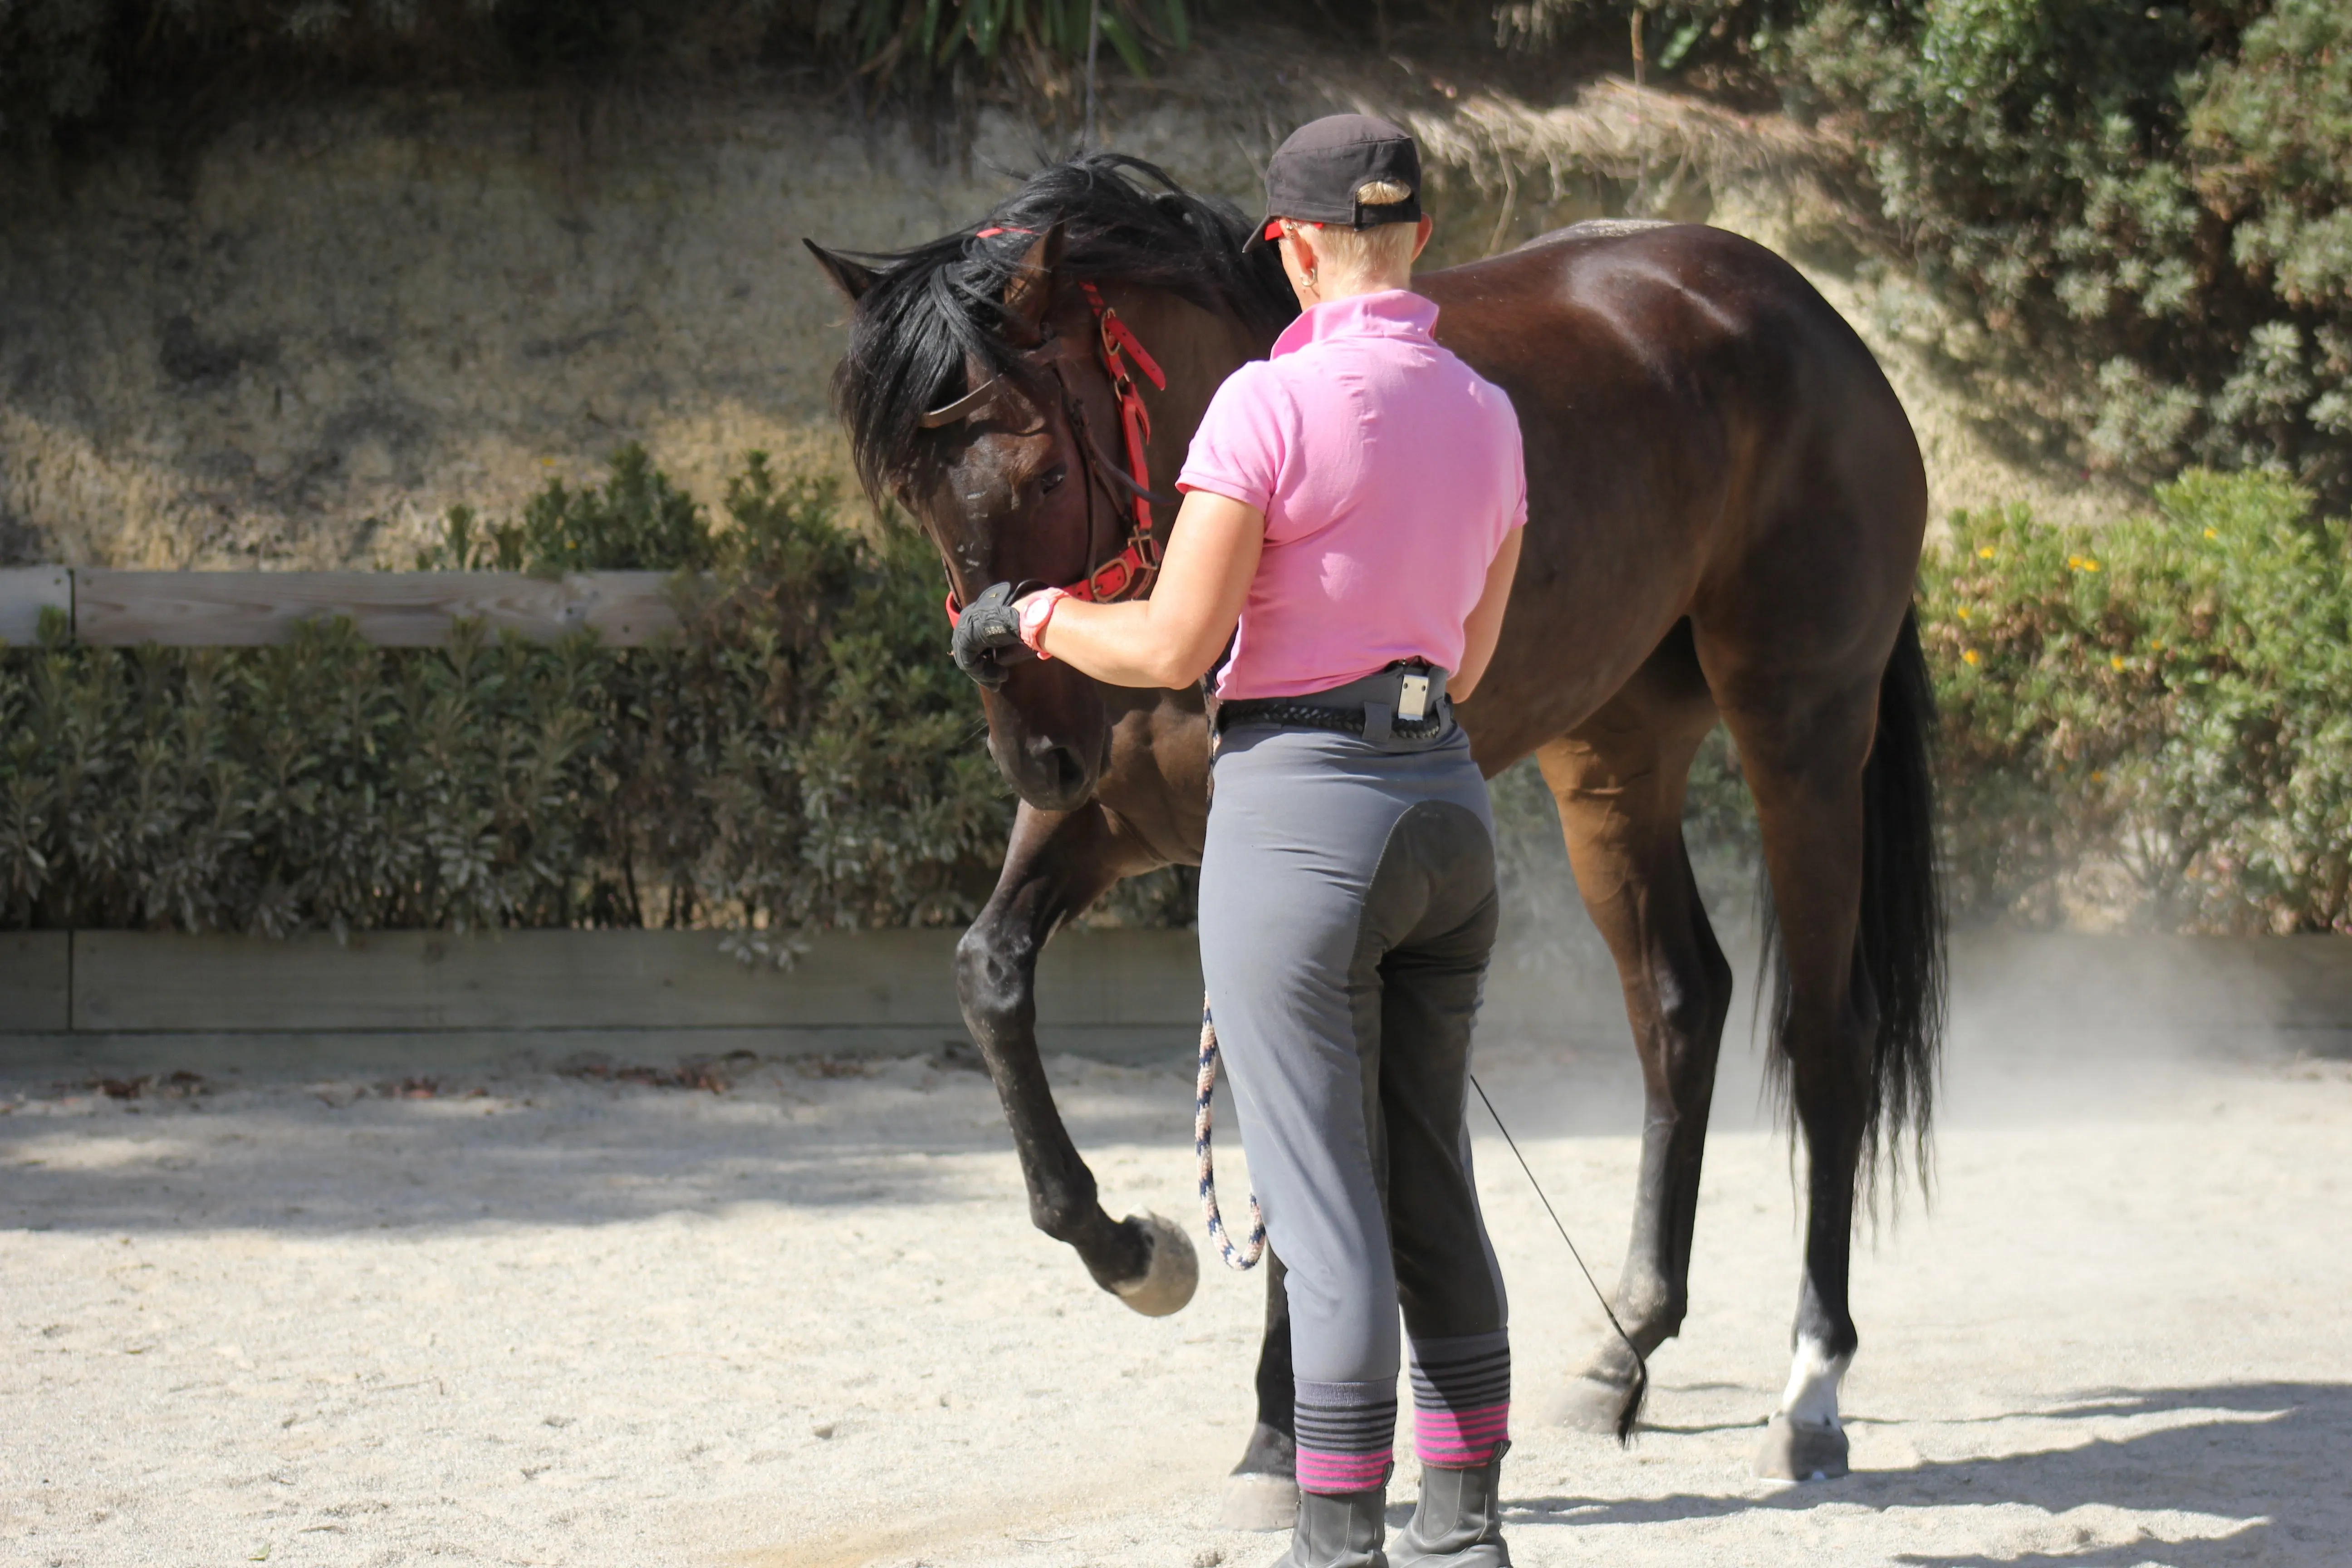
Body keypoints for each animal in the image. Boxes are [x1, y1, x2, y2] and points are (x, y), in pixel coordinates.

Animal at [799, 156, 1938, 1523]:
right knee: (1678, 1002)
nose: (1033, 752)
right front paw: (1137, 1253)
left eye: (1044, 478)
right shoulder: (1105, 821)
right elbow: (990, 975)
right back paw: (1622, 1351)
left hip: (1802, 733)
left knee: (1826, 1034)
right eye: (914, 499)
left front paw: (1278, 1432)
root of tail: (1807, 316)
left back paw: (1810, 1388)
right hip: (1613, 754)